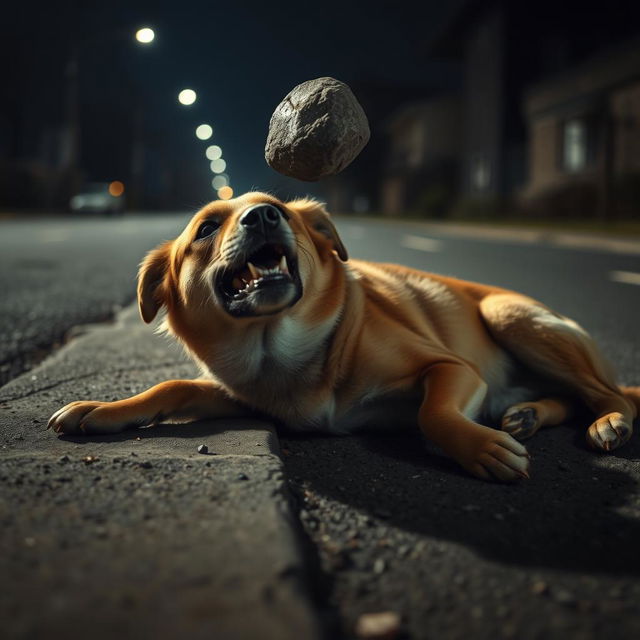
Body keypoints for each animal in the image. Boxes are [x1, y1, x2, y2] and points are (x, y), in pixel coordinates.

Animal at [48, 192, 640, 482]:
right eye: (206, 228)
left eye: (280, 211)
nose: (264, 217)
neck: (279, 349)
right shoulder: (238, 392)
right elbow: (171, 387)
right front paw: (103, 409)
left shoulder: (452, 369)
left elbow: (434, 413)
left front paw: (480, 447)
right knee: (569, 398)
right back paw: (528, 415)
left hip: (510, 315)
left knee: (608, 395)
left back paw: (607, 422)